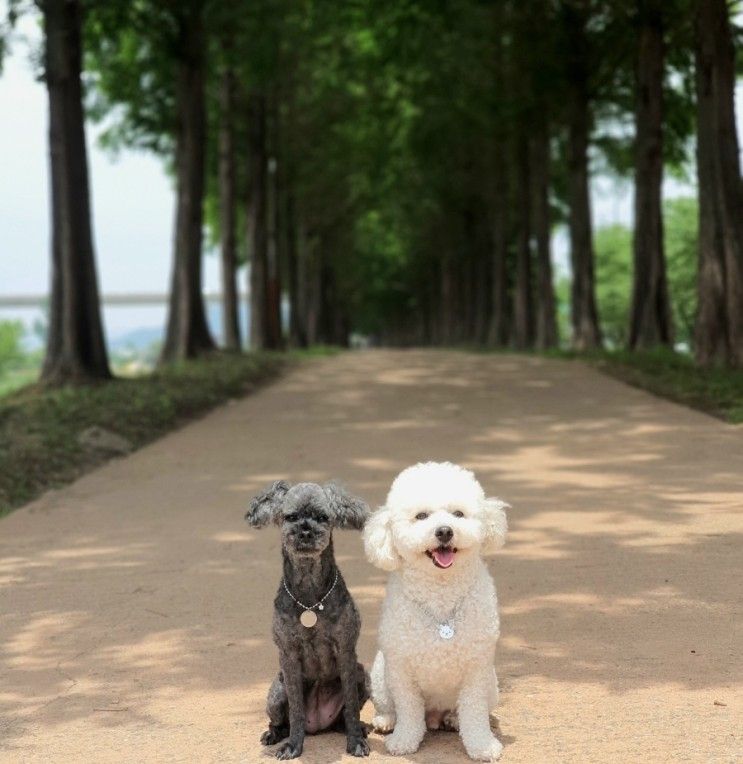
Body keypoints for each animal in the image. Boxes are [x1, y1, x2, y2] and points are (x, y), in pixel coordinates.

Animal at [246, 480, 370, 760]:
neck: (309, 598)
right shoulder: (288, 655)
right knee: (281, 721)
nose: (305, 531)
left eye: (323, 517)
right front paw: (293, 746)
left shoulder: (346, 651)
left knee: (345, 716)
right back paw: (274, 734)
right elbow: (296, 710)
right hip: (276, 692)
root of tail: (319, 725)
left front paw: (356, 741)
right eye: (290, 517)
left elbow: (351, 706)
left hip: (363, 676)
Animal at [362, 462, 512, 760]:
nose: (444, 531)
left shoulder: (476, 669)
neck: (441, 596)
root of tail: (434, 715)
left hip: (491, 685)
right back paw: (387, 721)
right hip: (381, 674)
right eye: (421, 516)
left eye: (459, 514)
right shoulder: (401, 668)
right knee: (391, 707)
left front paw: (482, 745)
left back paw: (453, 719)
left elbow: (474, 713)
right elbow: (408, 711)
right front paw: (404, 741)